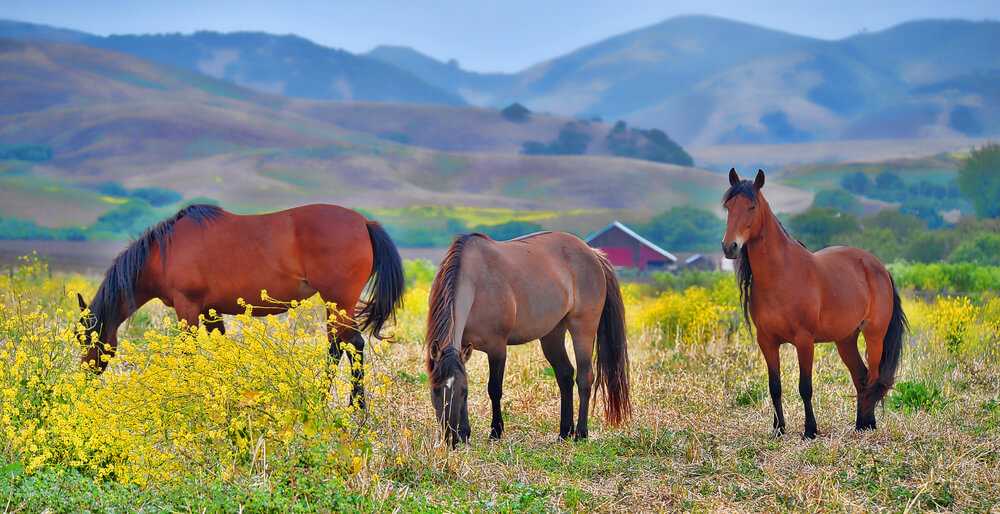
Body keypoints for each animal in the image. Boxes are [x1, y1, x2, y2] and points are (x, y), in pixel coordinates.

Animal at [73, 202, 406, 406]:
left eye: (85, 338)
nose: (84, 378)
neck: (163, 252)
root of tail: (364, 222)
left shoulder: (187, 308)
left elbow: (188, 354)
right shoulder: (210, 311)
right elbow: (222, 349)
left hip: (337, 302)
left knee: (345, 346)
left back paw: (337, 404)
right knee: (347, 345)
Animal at [424, 232, 628, 444]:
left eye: (462, 391)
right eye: (435, 389)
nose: (451, 438)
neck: (475, 283)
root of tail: (593, 254)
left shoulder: (497, 348)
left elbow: (494, 389)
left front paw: (496, 432)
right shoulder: (463, 348)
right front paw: (465, 433)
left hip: (583, 329)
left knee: (584, 377)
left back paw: (580, 433)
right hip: (552, 333)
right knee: (565, 375)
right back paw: (564, 432)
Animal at [720, 169, 908, 436]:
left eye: (752, 206)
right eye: (728, 207)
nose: (730, 247)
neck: (781, 275)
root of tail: (878, 267)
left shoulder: (804, 341)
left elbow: (805, 387)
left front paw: (810, 430)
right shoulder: (767, 341)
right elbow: (774, 386)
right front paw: (779, 429)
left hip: (874, 336)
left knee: (873, 377)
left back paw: (868, 423)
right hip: (845, 340)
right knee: (860, 377)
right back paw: (860, 424)